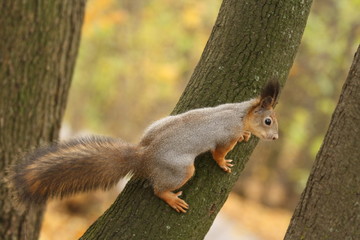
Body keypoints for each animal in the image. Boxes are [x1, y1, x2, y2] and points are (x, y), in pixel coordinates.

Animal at [10, 80, 282, 212]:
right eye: (268, 121)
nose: (276, 138)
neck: (240, 113)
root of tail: (144, 156)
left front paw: (246, 136)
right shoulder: (225, 135)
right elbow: (219, 152)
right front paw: (224, 162)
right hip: (181, 170)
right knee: (158, 189)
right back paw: (170, 198)